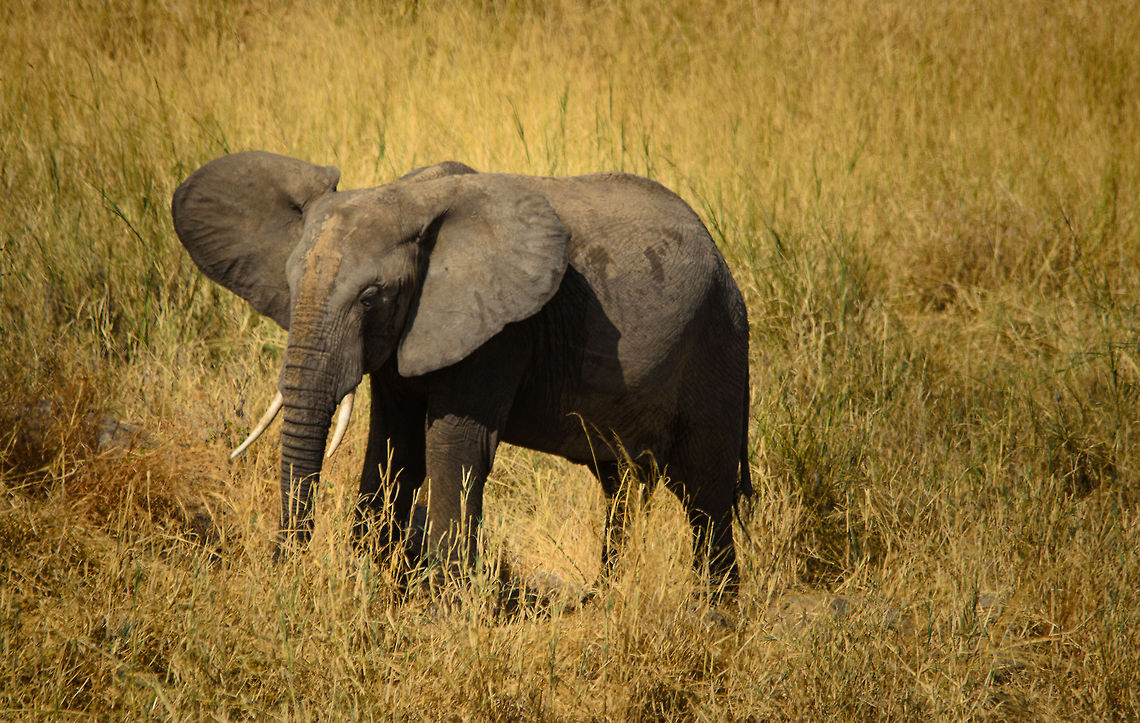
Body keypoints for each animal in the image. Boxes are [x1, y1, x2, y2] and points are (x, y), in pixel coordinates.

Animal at [171, 151, 752, 595]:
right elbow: (394, 444)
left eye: (370, 296)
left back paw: (714, 615)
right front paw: (370, 583)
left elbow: (454, 444)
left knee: (707, 496)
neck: (410, 199)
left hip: (719, 343)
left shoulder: (499, 331)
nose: (285, 573)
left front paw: (440, 609)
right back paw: (608, 597)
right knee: (623, 489)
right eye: (291, 284)